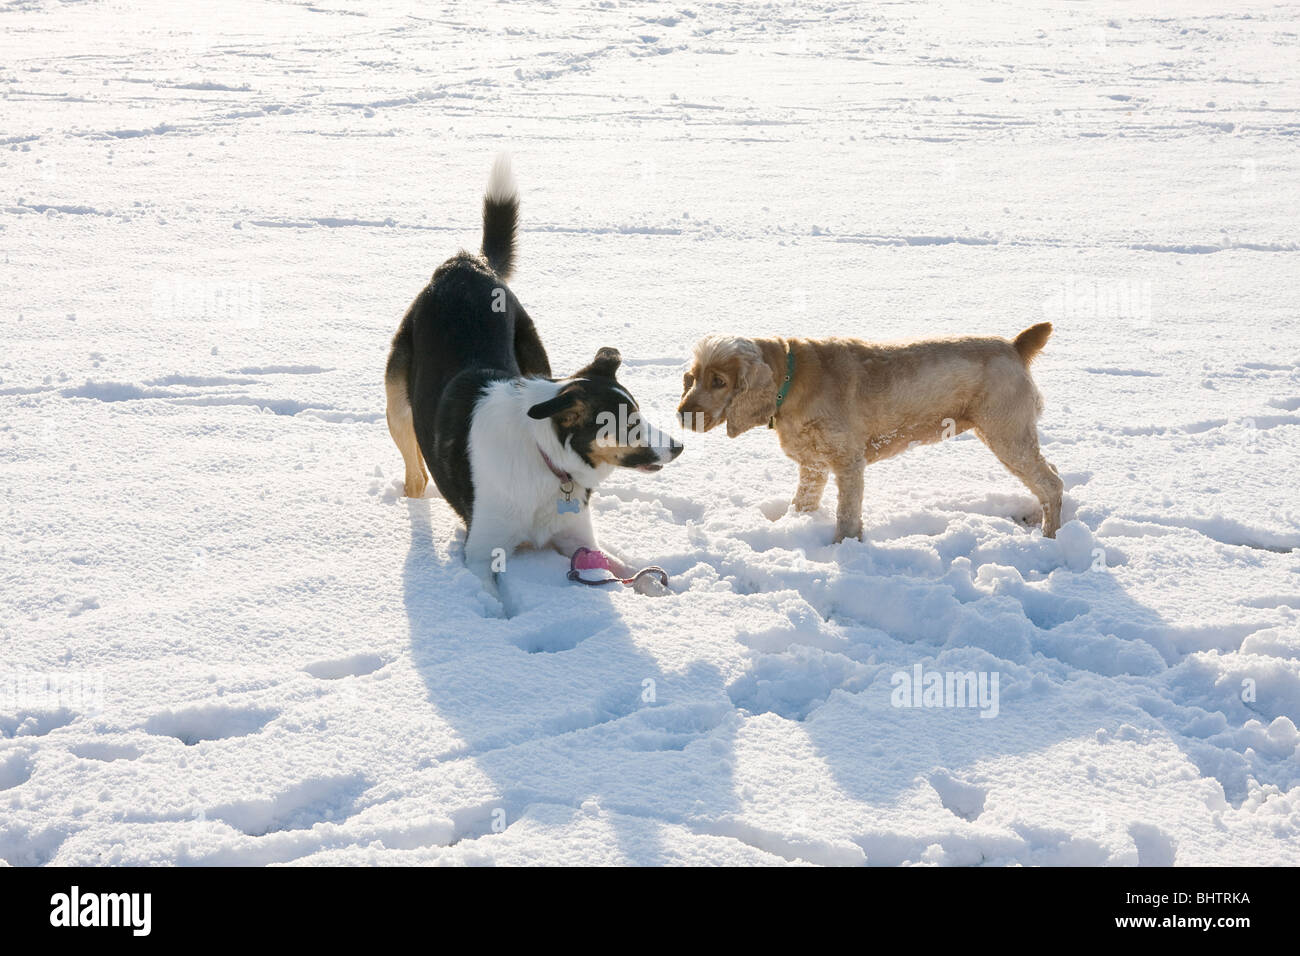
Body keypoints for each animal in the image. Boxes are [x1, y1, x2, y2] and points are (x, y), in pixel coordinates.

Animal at [382, 156, 681, 590]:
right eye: (626, 423)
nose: (679, 446)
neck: (548, 461)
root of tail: (465, 264)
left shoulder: (577, 538)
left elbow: (624, 570)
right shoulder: (480, 554)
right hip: (397, 407)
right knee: (415, 472)